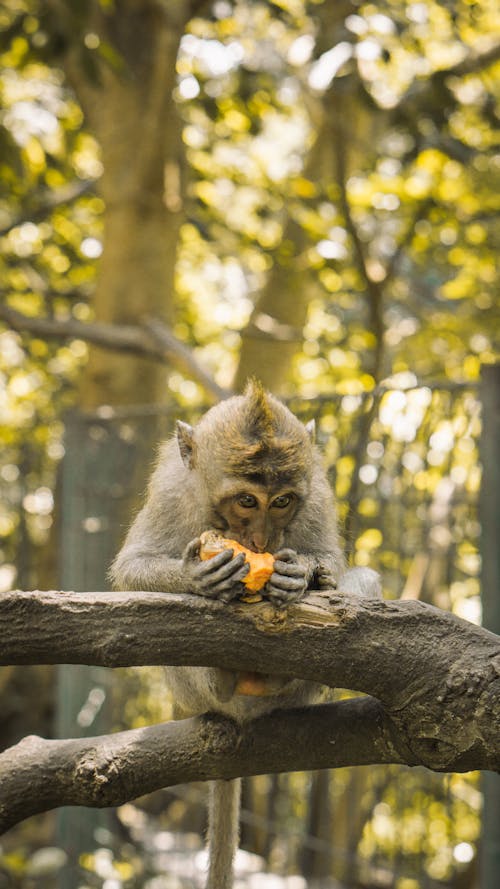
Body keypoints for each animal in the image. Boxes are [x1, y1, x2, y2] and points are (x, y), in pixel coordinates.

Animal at [111, 382, 380, 888]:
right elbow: (132, 568)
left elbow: (331, 557)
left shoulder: (316, 491)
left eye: (282, 501)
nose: (259, 543)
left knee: (364, 582)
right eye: (246, 501)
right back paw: (218, 674)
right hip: (194, 698)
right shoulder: (171, 488)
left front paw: (303, 574)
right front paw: (198, 575)